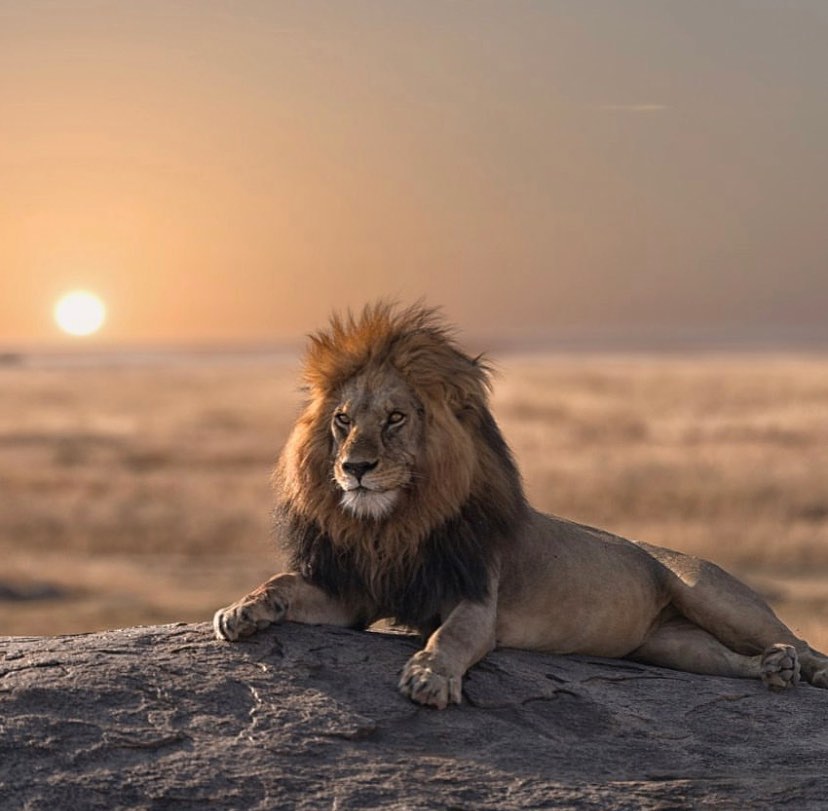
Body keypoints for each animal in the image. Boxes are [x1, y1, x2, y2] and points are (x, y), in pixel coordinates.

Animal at [214, 302, 828, 708]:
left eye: (395, 418)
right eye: (343, 420)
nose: (354, 468)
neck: (394, 524)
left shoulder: (474, 598)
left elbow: (451, 637)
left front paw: (429, 677)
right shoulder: (356, 594)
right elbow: (283, 584)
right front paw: (241, 610)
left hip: (712, 594)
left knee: (798, 640)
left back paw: (806, 669)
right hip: (667, 645)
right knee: (727, 661)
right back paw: (773, 670)